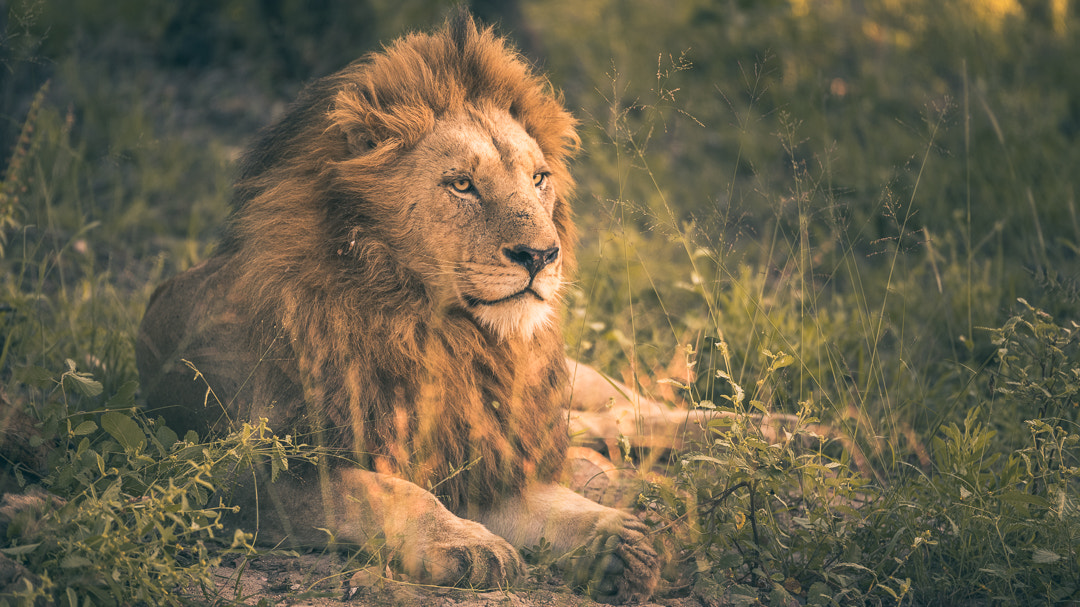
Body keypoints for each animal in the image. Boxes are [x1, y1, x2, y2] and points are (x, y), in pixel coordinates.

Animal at [135, 11, 656, 600]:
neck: (435, 334)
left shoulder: (480, 445)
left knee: (629, 409)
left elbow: (543, 500)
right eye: (462, 185)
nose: (543, 255)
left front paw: (617, 543)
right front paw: (470, 544)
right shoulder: (240, 474)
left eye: (539, 179)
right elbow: (381, 490)